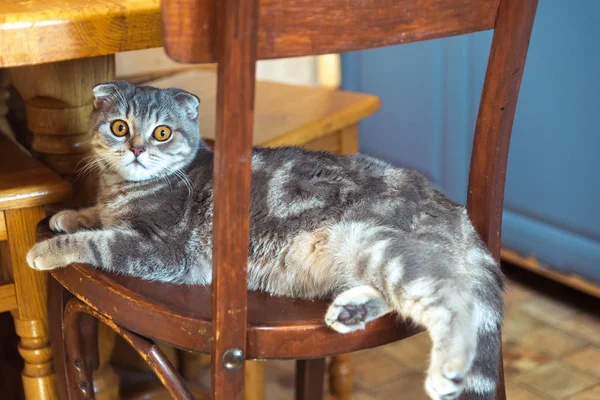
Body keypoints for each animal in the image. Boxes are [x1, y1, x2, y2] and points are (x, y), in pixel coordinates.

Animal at [29, 81, 506, 400]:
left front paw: (45, 249)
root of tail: (452, 207)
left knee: (449, 299)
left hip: (377, 242)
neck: (123, 189)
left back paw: (448, 371)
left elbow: (100, 242)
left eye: (162, 132)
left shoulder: (165, 250)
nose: (137, 150)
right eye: (119, 126)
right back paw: (351, 310)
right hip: (368, 254)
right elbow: (95, 218)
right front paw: (69, 215)